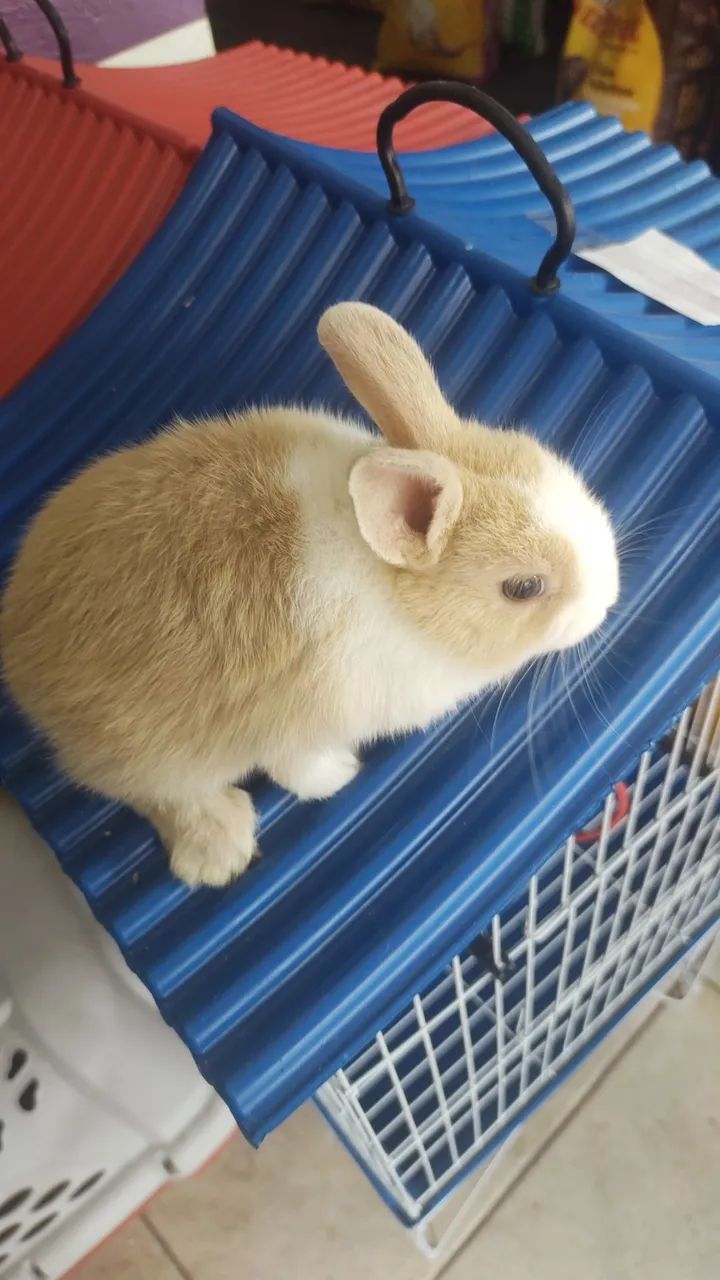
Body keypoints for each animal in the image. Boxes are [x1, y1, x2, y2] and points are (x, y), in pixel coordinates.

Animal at [1, 303, 619, 888]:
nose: (609, 598)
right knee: (164, 795)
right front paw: (340, 775)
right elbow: (298, 770)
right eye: (523, 588)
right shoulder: (298, 726)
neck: (395, 589)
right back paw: (220, 851)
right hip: (149, 752)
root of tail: (17, 634)